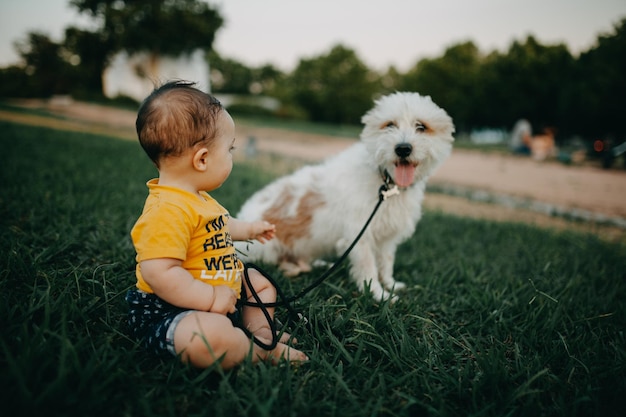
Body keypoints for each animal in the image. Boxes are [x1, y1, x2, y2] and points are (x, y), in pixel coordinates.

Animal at [234, 92, 454, 300]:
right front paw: (379, 295)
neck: (386, 182)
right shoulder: (360, 234)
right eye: (390, 124)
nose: (403, 148)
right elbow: (368, 268)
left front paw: (390, 285)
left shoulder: (386, 238)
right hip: (266, 250)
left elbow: (386, 263)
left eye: (421, 126)